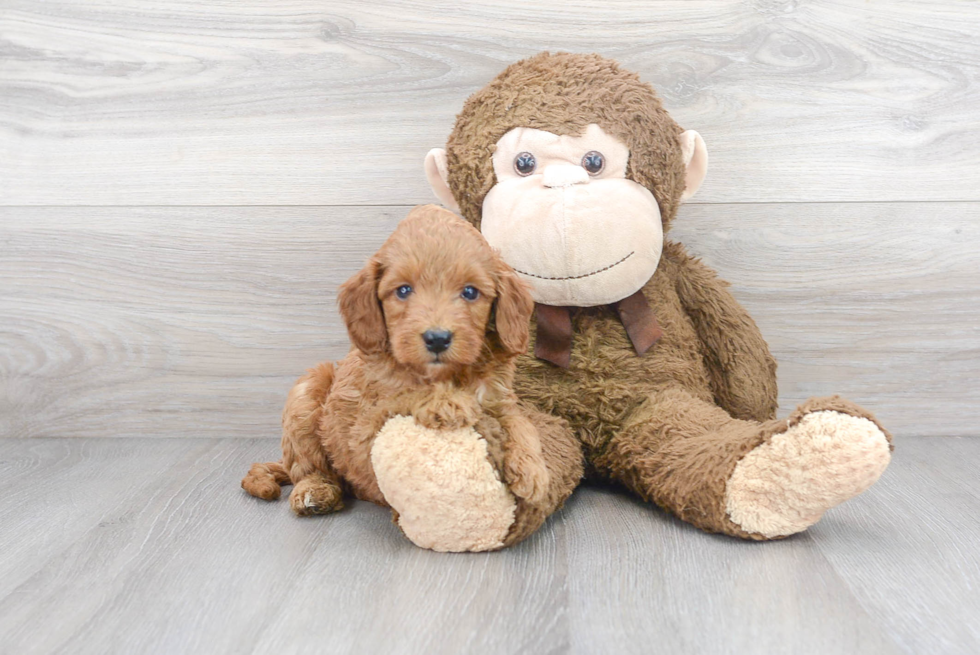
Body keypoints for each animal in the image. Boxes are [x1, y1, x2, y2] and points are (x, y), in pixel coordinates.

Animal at [243, 206, 580, 544]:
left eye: (470, 292)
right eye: (403, 290)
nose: (437, 338)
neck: (450, 375)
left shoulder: (499, 398)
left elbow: (521, 423)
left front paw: (533, 470)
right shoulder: (365, 427)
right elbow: (405, 393)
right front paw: (446, 402)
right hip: (308, 391)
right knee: (308, 467)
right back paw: (315, 491)